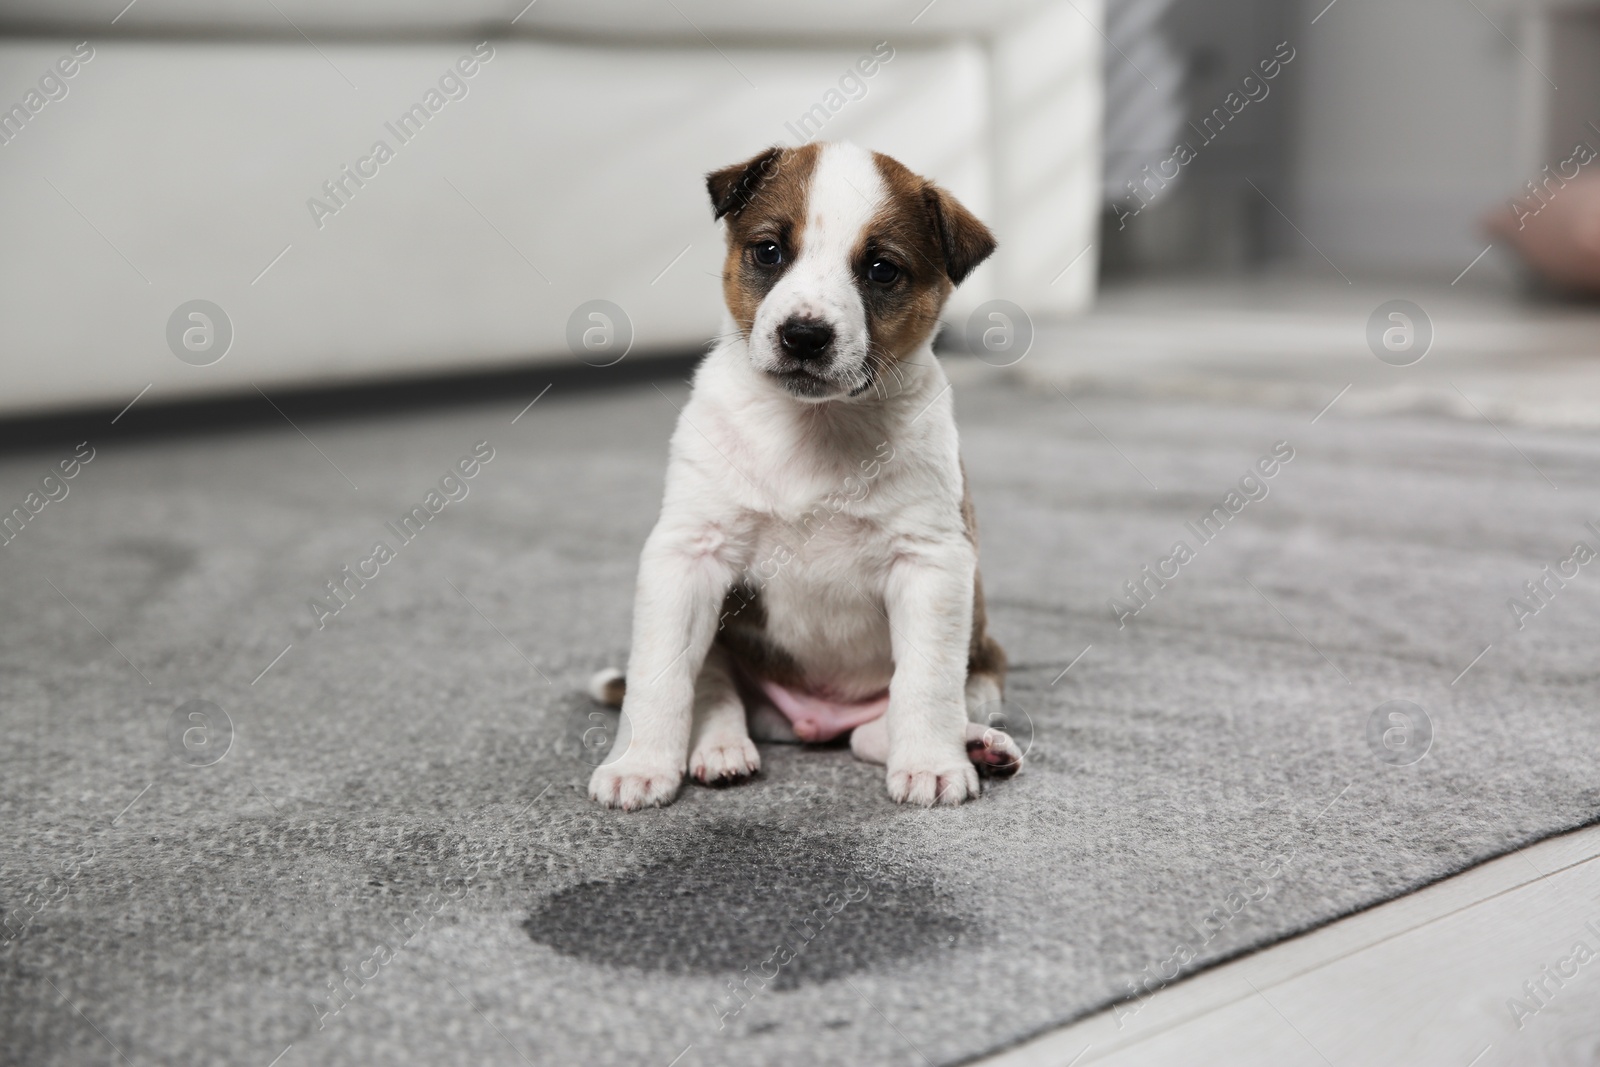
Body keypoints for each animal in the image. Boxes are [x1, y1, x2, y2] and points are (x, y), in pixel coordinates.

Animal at [592, 141, 1024, 809]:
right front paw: (638, 766)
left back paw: (976, 745)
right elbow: (660, 679)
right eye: (770, 251)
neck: (813, 426)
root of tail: (814, 719)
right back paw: (721, 749)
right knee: (714, 689)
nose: (803, 335)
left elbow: (925, 684)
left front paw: (932, 764)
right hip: (721, 641)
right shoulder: (686, 555)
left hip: (983, 664)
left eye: (881, 270)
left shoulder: (931, 562)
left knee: (886, 725)